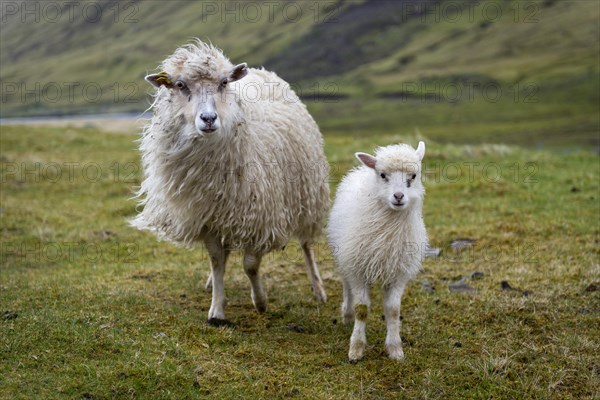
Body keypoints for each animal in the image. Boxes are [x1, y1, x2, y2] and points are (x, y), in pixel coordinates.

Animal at [131, 39, 330, 324]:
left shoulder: (261, 216)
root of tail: (260, 70)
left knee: (306, 244)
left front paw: (260, 301)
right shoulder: (208, 216)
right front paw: (217, 308)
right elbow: (217, 261)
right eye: (180, 85)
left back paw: (318, 289)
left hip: (307, 194)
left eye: (224, 82)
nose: (208, 119)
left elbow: (250, 265)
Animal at [328, 141, 426, 362]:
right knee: (347, 287)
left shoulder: (398, 274)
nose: (398, 196)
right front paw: (356, 349)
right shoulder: (357, 269)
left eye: (413, 176)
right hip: (345, 258)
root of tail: (361, 169)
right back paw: (347, 315)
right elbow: (362, 310)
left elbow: (393, 311)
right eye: (382, 175)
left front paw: (395, 349)